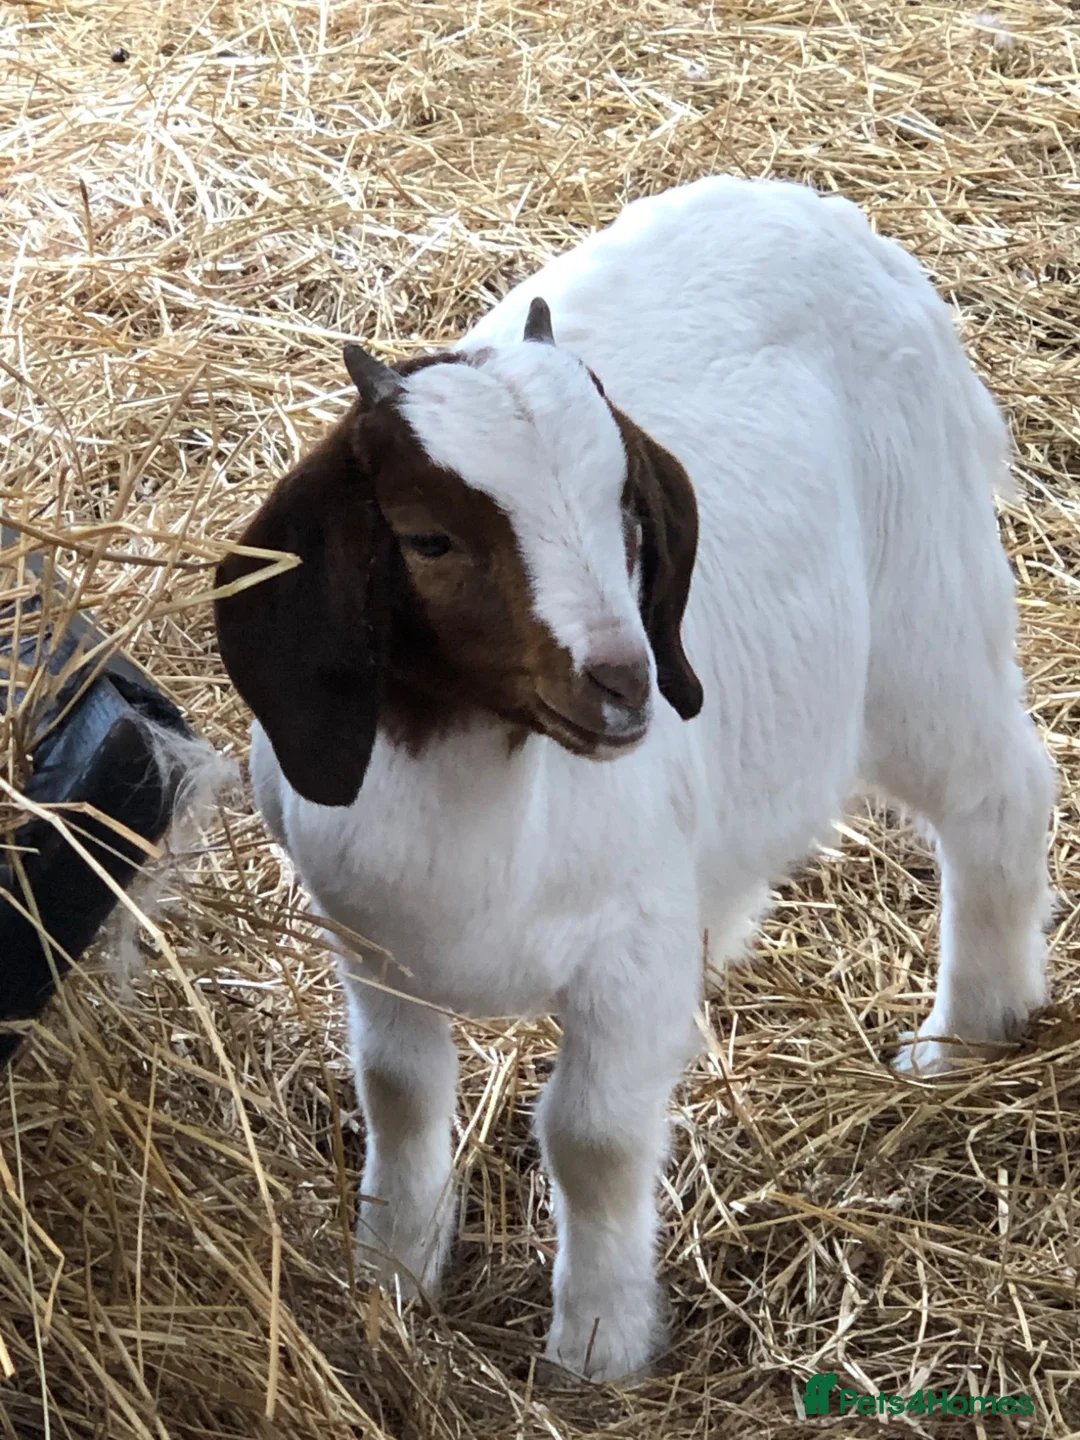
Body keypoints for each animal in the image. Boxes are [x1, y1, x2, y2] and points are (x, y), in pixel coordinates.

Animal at [214, 175, 1055, 1383]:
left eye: (624, 507)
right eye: (427, 539)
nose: (623, 681)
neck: (491, 785)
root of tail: (824, 212)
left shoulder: (629, 950)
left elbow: (593, 1137)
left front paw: (597, 1343)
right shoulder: (374, 946)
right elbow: (401, 1093)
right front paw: (393, 1270)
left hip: (924, 619)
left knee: (1001, 794)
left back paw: (965, 1034)